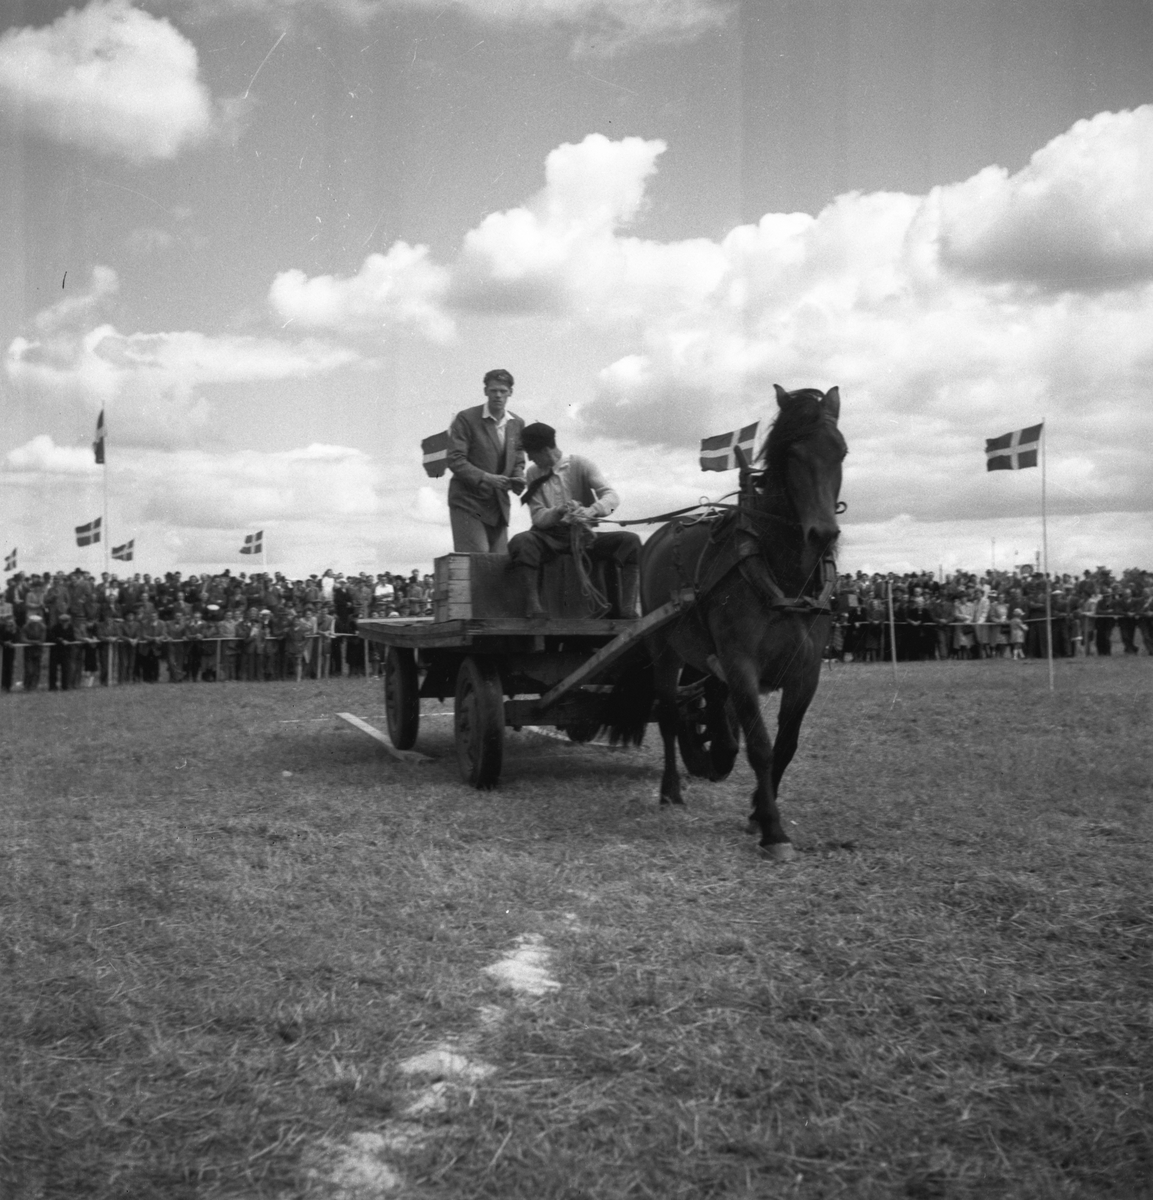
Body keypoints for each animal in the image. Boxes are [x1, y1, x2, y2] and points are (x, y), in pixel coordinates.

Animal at [614, 384, 847, 861]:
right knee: (670, 714)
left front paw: (759, 810)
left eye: (841, 452)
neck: (783, 575)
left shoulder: (805, 671)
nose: (823, 535)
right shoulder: (741, 664)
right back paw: (671, 790)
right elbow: (760, 746)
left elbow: (786, 745)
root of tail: (659, 534)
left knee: (712, 703)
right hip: (664, 650)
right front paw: (773, 830)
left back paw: (718, 750)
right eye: (791, 453)